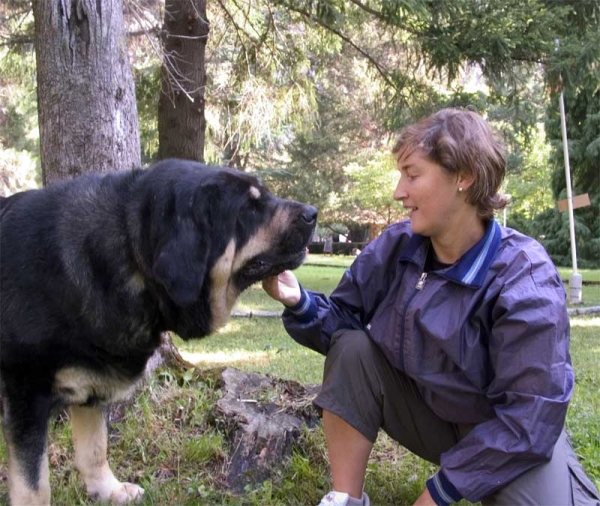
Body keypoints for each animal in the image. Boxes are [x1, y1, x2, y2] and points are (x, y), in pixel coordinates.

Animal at [0, 159, 318, 506]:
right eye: (249, 207)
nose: (313, 213)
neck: (127, 254)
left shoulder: (93, 383)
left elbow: (94, 450)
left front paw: (108, 491)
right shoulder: (26, 396)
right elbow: (34, 486)